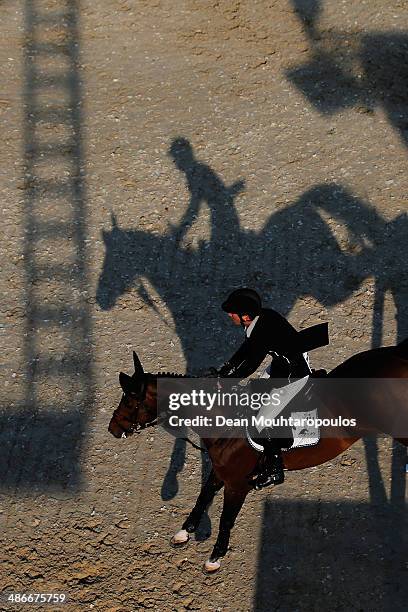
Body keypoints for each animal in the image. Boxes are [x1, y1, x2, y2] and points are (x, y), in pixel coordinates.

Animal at [107, 342, 408, 572]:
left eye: (131, 401)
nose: (112, 429)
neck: (223, 418)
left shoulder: (237, 484)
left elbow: (226, 518)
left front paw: (215, 557)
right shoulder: (220, 470)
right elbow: (203, 496)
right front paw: (185, 531)